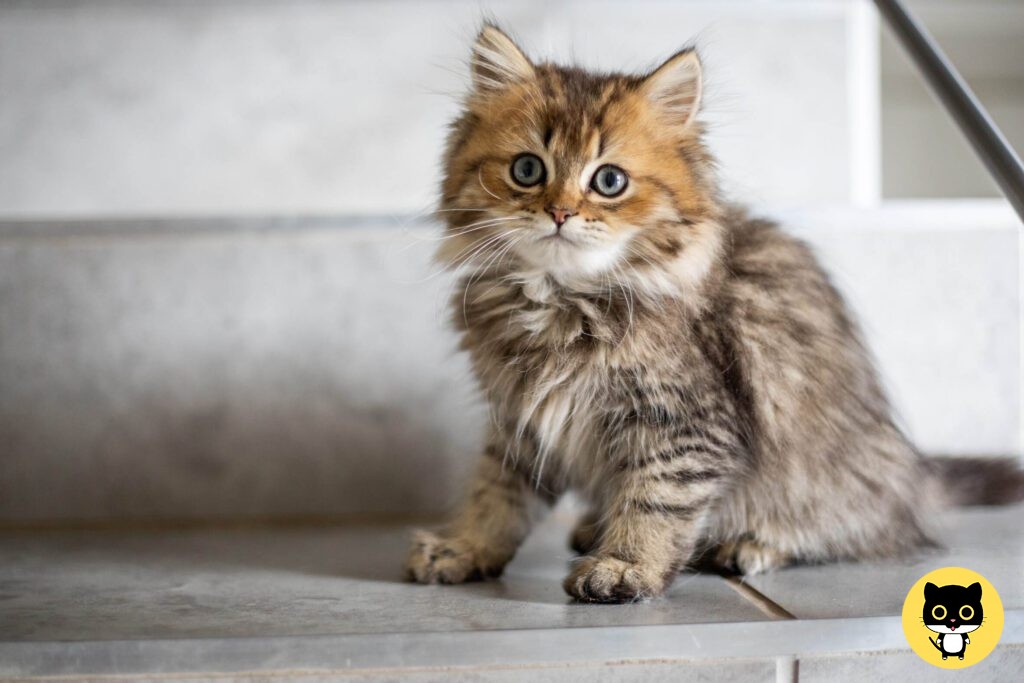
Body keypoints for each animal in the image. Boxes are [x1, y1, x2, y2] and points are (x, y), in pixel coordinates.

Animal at [403, 22, 1019, 602]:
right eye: (528, 170)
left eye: (609, 181)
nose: (559, 213)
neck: (561, 299)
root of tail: (914, 475)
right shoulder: (520, 418)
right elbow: (497, 493)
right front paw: (465, 547)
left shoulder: (686, 423)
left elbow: (655, 500)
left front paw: (624, 566)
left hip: (833, 480)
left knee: (853, 530)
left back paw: (750, 544)